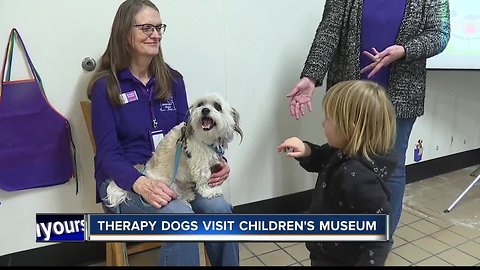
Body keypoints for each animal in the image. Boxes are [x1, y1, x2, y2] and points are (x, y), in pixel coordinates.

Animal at [103, 93, 242, 207]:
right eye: (200, 104)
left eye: (217, 106)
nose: (205, 110)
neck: (208, 137)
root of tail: (144, 172)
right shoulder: (200, 164)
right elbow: (203, 179)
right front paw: (210, 191)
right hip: (167, 183)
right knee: (176, 193)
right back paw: (185, 198)